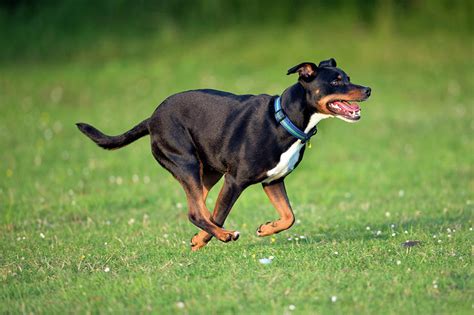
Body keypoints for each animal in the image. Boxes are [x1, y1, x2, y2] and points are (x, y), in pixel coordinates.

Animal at [77, 58, 370, 252]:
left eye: (347, 77)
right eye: (336, 81)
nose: (368, 89)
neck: (283, 118)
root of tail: (151, 119)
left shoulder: (273, 181)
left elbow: (289, 216)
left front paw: (265, 228)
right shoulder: (235, 181)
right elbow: (220, 214)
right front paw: (212, 238)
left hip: (207, 172)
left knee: (199, 207)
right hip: (186, 163)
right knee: (197, 213)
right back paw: (221, 234)